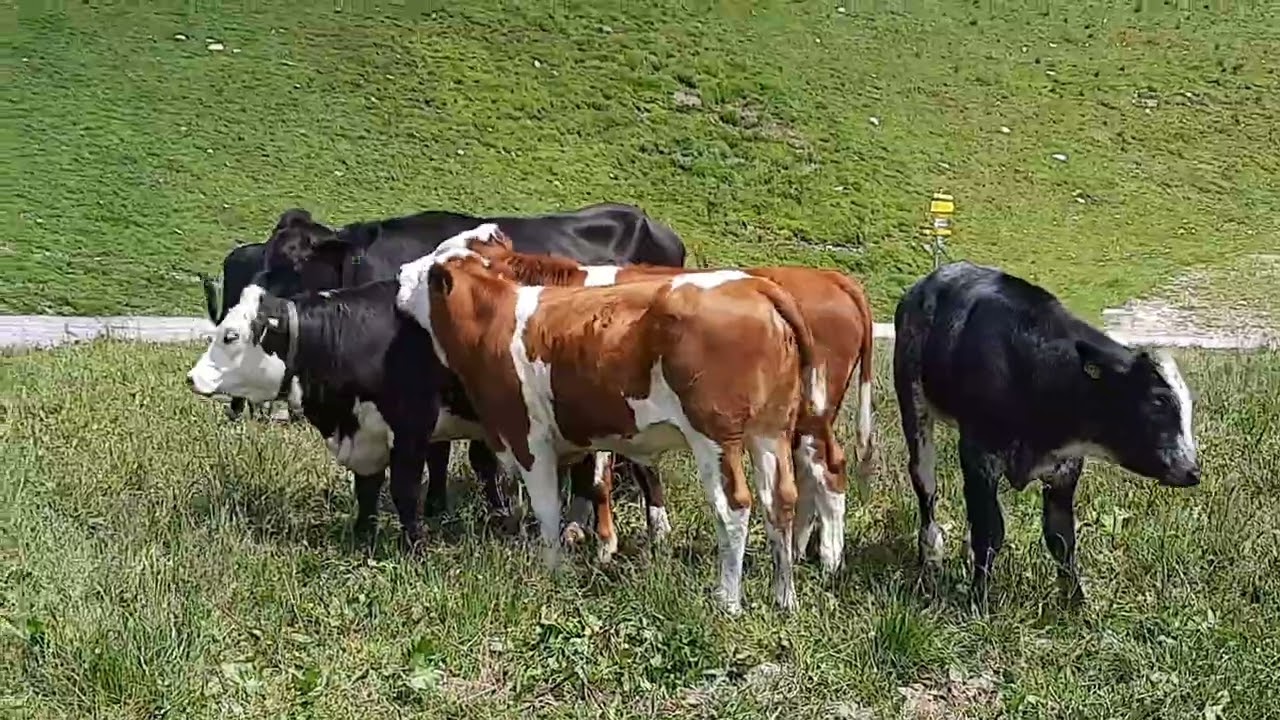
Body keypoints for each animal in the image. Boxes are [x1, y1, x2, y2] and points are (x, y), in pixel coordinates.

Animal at [185, 280, 508, 549]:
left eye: (231, 336)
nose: (192, 378)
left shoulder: (412, 428)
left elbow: (404, 490)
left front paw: (415, 547)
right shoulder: (365, 433)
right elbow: (366, 489)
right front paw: (362, 537)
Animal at [250, 204, 686, 528]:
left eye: (295, 258)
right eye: (267, 252)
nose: (253, 297)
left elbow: (471, 455)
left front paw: (497, 510)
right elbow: (438, 452)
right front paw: (437, 506)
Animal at [395, 227, 826, 614]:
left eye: (430, 268)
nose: (400, 271)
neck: (497, 322)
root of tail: (753, 286)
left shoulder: (528, 438)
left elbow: (548, 508)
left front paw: (554, 570)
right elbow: (590, 485)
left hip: (716, 437)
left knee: (734, 507)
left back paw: (729, 601)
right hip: (771, 432)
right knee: (780, 501)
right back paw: (784, 598)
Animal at [893, 261, 1201, 611]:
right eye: (1158, 401)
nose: (1192, 469)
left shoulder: (1066, 468)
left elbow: (1061, 538)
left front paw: (1076, 604)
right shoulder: (978, 455)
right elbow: (989, 532)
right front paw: (979, 600)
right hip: (913, 404)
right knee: (925, 484)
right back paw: (931, 553)